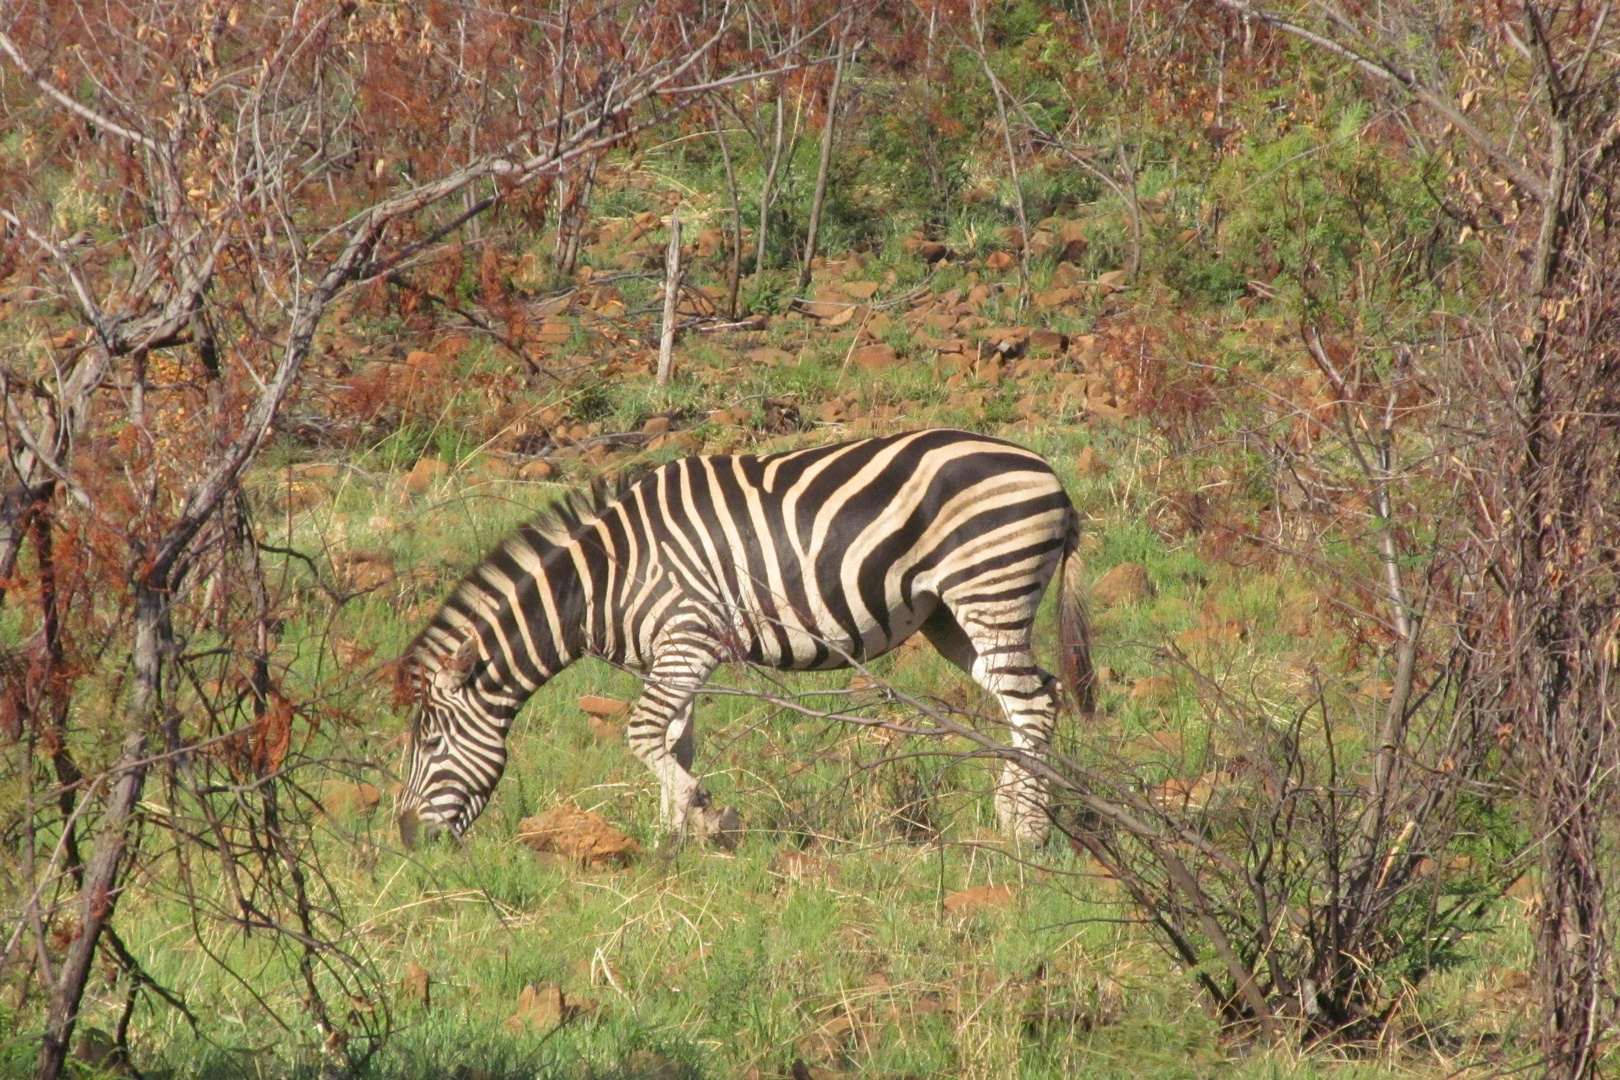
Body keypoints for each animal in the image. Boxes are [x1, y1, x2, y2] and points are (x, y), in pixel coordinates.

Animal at [396, 427, 1095, 848]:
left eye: (429, 744)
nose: (406, 839)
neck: (607, 580)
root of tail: (1050, 475)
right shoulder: (671, 654)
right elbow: (673, 740)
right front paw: (675, 839)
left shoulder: (688, 637)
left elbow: (643, 735)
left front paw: (699, 818)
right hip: (950, 614)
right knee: (1034, 696)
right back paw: (1015, 810)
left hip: (989, 585)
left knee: (1033, 701)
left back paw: (1025, 828)